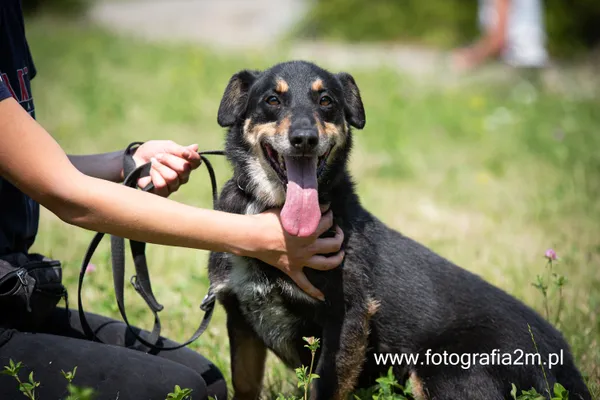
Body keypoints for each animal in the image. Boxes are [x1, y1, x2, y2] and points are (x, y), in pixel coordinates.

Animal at [206, 60, 592, 400]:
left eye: (326, 100)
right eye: (272, 100)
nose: (304, 139)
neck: (272, 211)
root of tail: (566, 368)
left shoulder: (347, 319)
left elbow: (326, 389)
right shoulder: (240, 319)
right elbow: (244, 386)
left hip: (447, 372)